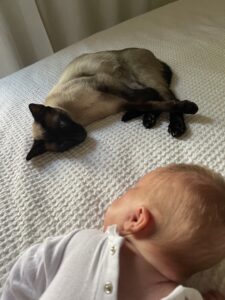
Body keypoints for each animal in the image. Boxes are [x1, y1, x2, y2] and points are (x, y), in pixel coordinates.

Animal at [26, 47, 199, 161]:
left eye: (62, 124)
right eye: (64, 144)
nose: (81, 134)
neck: (78, 116)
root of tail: (151, 54)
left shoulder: (102, 82)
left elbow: (144, 96)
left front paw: (190, 108)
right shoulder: (120, 103)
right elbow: (151, 104)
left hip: (145, 76)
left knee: (167, 95)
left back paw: (176, 126)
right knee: (161, 101)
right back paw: (146, 119)